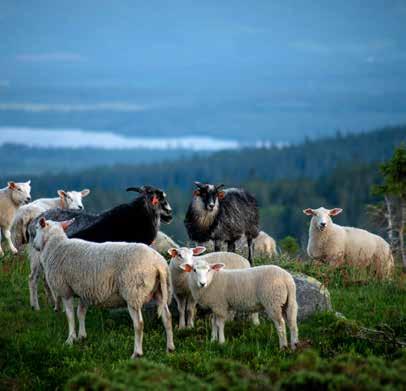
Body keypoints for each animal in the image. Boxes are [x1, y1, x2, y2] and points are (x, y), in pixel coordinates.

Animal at [32, 219, 175, 360]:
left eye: (37, 228)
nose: (33, 245)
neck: (56, 246)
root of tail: (158, 264)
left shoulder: (65, 290)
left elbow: (70, 316)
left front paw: (70, 339)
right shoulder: (85, 292)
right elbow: (80, 313)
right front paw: (82, 336)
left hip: (133, 292)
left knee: (139, 324)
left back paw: (137, 353)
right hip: (161, 291)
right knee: (167, 318)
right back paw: (170, 348)